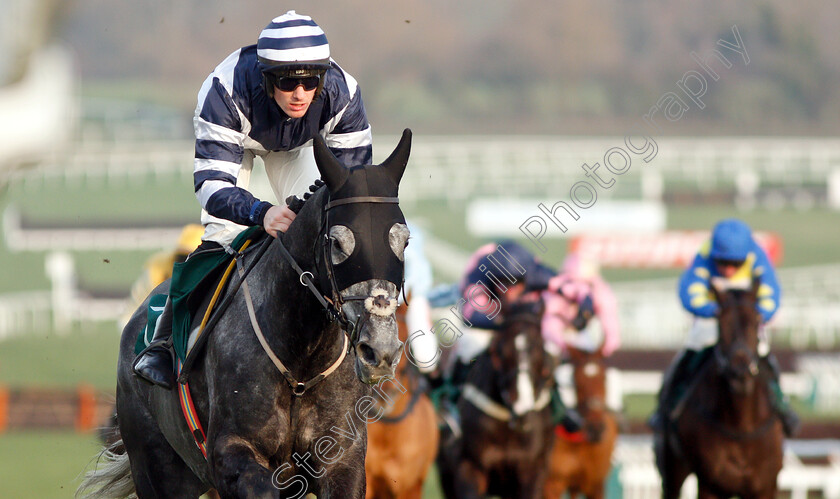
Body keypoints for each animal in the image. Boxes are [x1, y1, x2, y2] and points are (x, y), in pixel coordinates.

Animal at [652, 282, 784, 499]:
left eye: (756, 320)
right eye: (721, 323)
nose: (740, 373)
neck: (741, 426)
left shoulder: (764, 486)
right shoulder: (711, 485)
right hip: (672, 467)